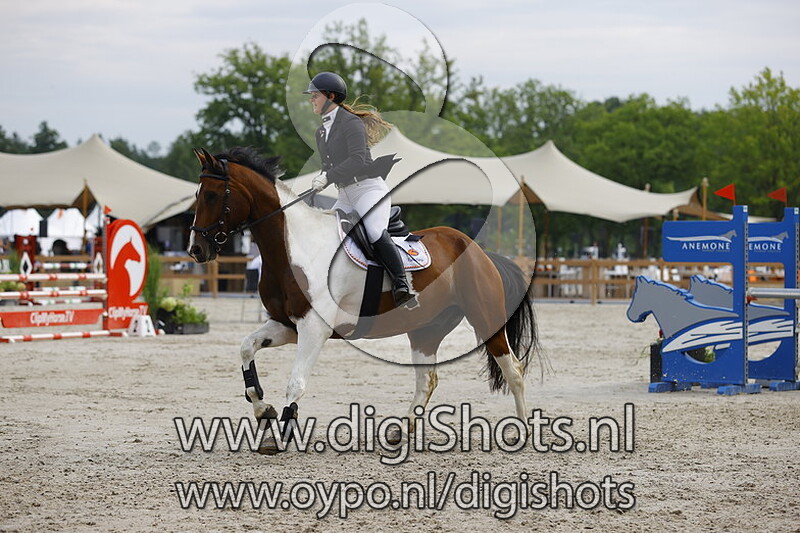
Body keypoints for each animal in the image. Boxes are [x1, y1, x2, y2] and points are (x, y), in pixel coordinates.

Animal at [187, 147, 538, 453]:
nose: (196, 250)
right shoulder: (286, 324)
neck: (292, 246)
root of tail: (480, 251)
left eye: (212, 195)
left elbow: (296, 382)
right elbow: (246, 349)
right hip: (425, 329)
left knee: (513, 370)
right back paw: (402, 430)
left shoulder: (314, 328)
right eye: (198, 195)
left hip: (485, 318)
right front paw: (263, 410)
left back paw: (522, 431)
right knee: (427, 380)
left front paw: (281, 434)